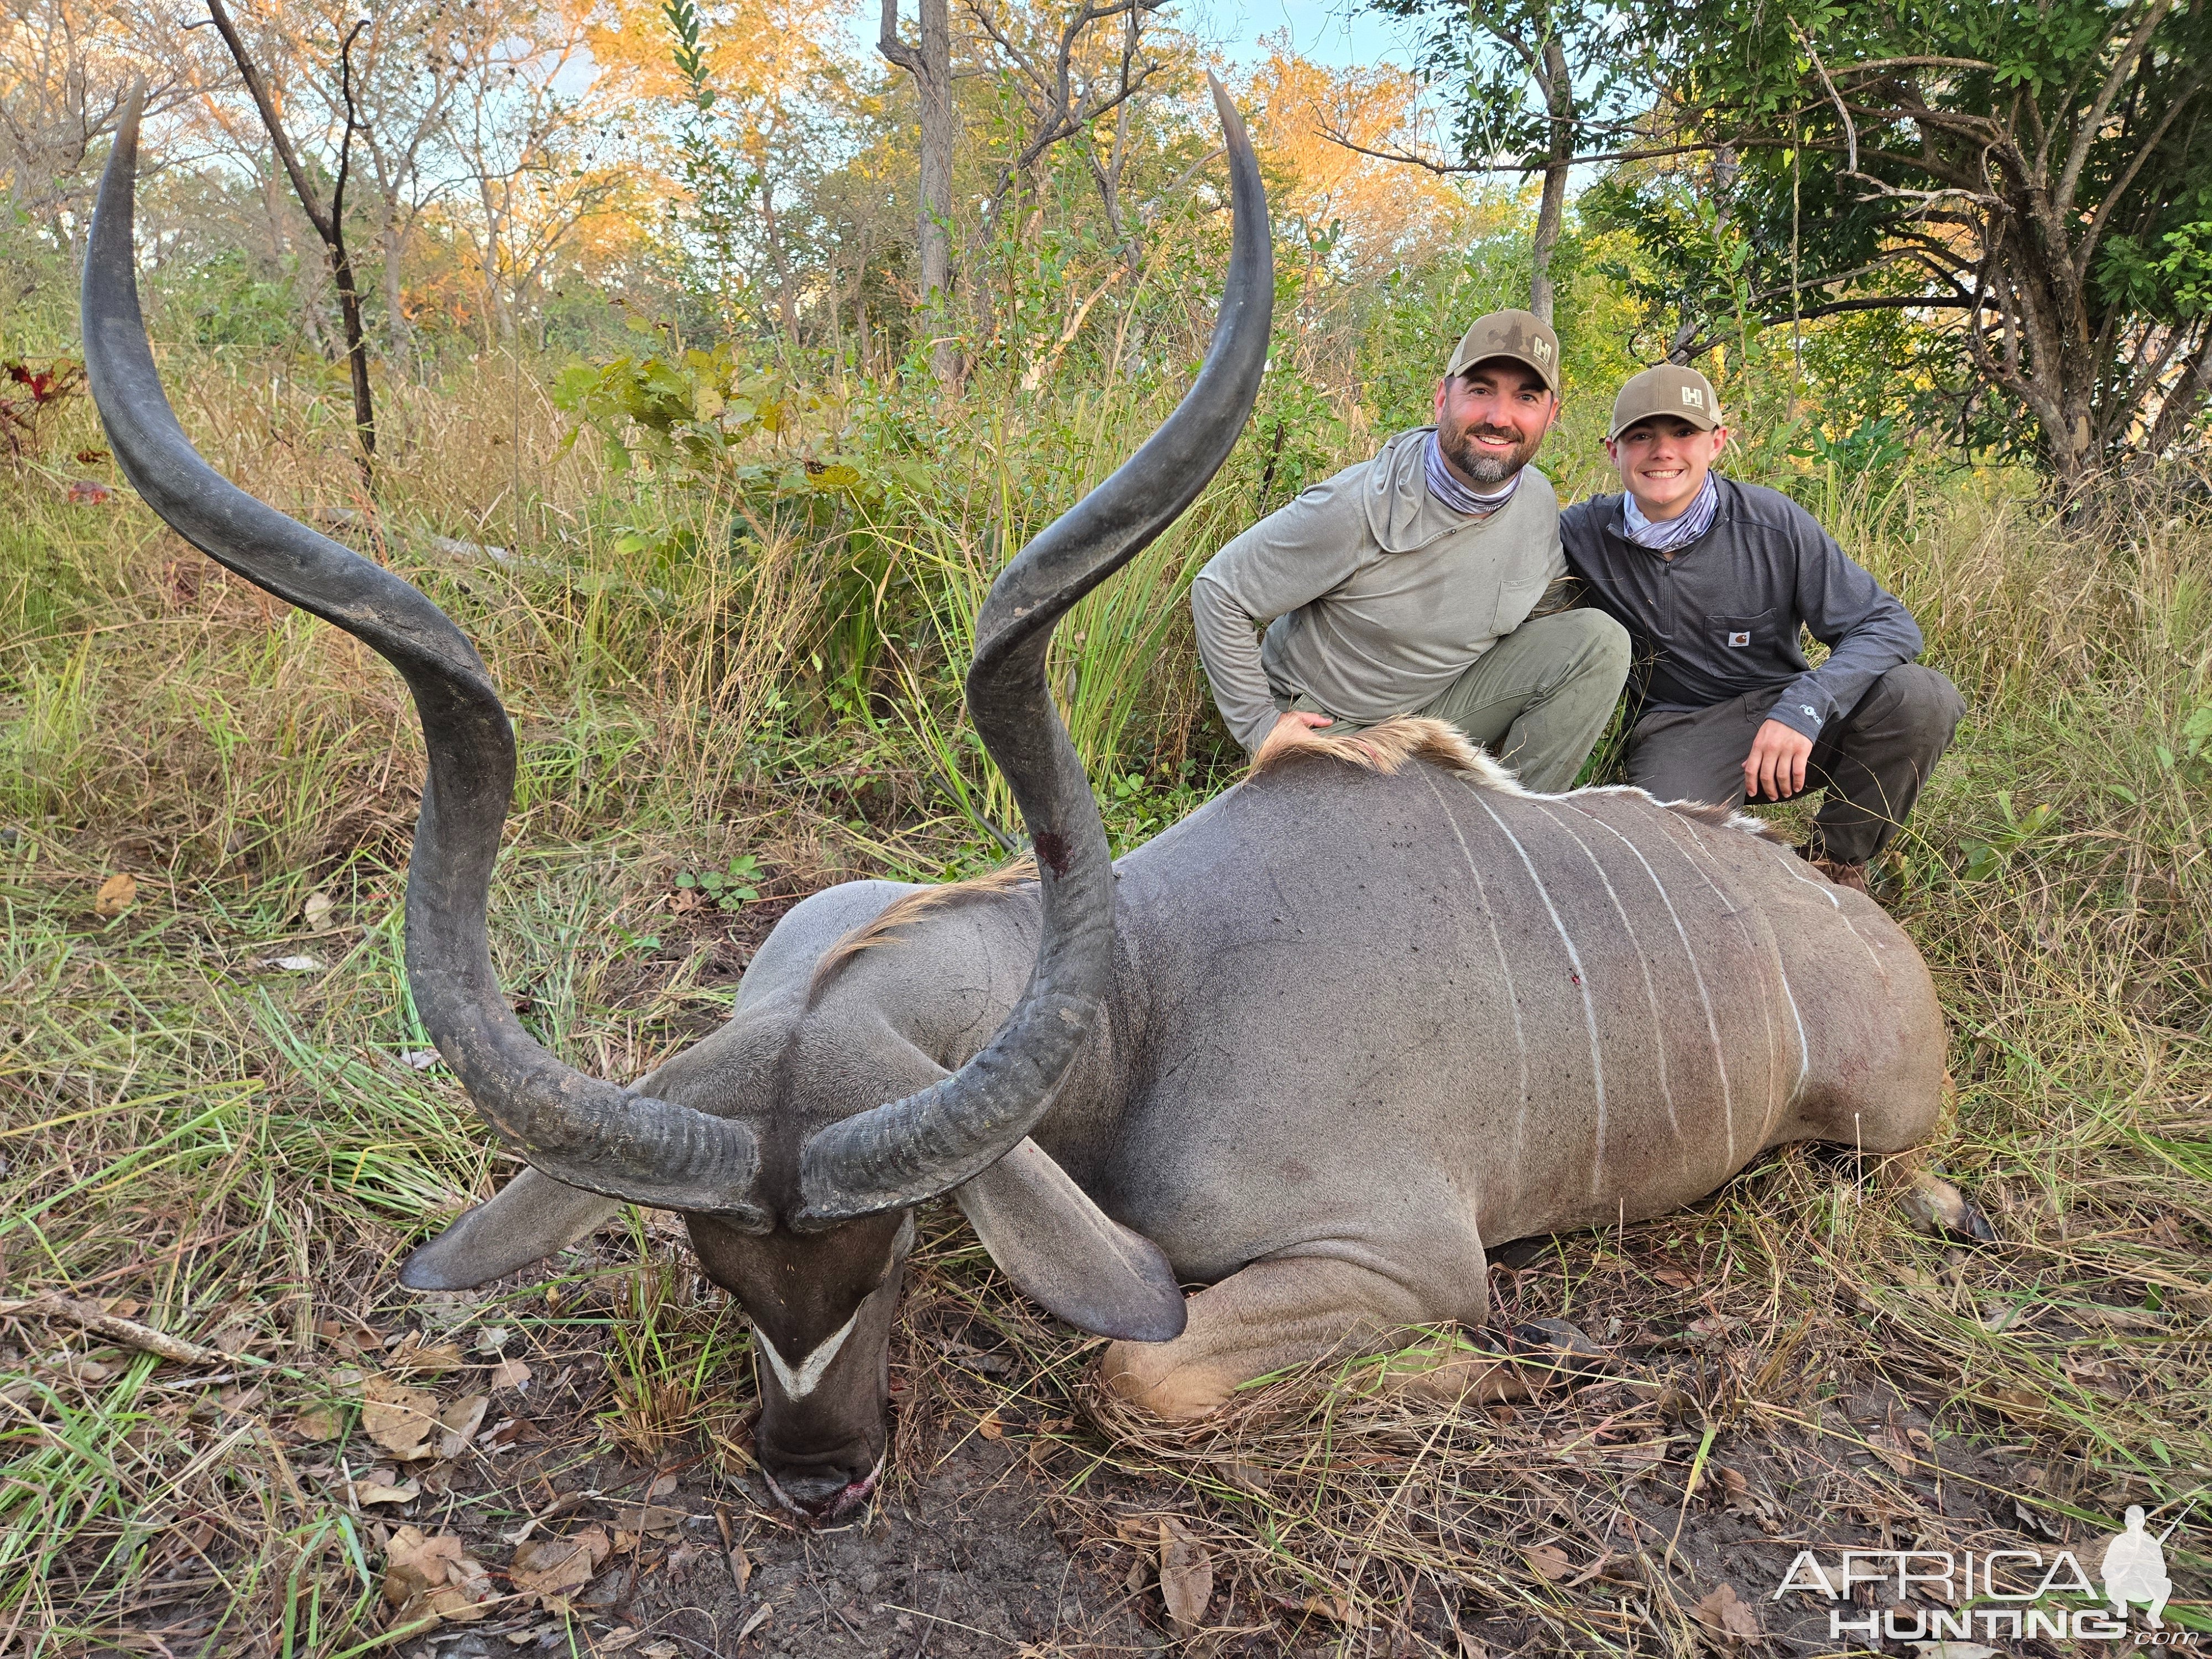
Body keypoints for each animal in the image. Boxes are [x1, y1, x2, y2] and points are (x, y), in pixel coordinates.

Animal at [86, 88, 1938, 1522]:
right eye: (707, 1264)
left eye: (904, 1250)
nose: (815, 1480)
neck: (1154, 988)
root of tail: (1847, 923)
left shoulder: (1397, 1256)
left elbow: (1146, 1376)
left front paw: (1476, 1374)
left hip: (1870, 1116)